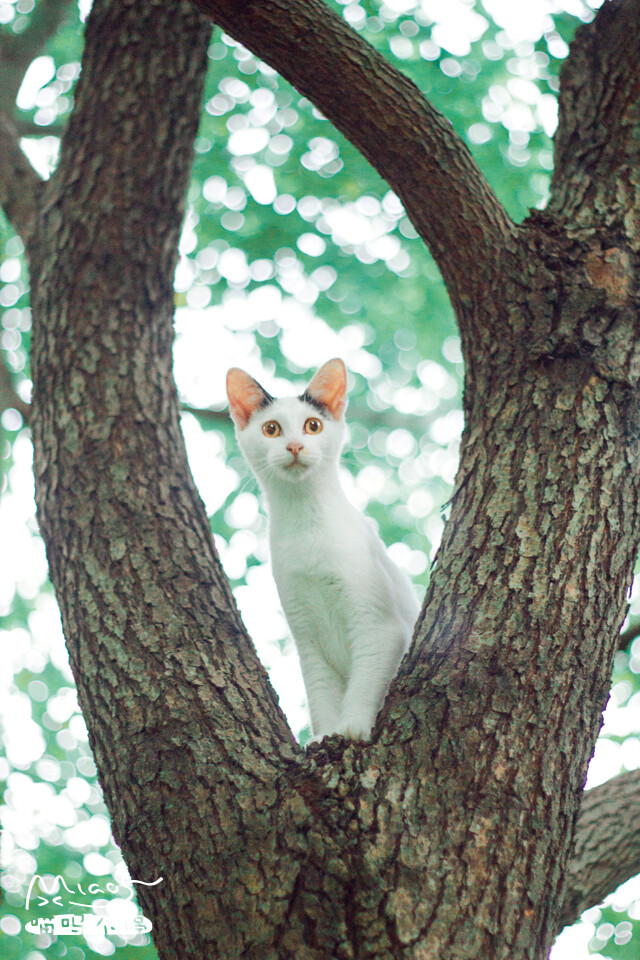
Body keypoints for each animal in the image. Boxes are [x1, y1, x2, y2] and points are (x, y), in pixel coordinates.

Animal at [226, 360, 420, 744]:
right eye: (271, 429)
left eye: (312, 426)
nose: (295, 446)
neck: (307, 525)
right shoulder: (308, 640)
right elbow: (320, 692)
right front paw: (325, 734)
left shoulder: (380, 626)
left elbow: (366, 677)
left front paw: (353, 726)